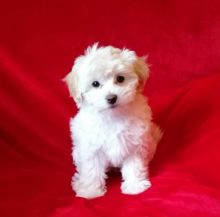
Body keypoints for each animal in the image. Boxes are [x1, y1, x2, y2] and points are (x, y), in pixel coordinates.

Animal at [63, 43, 162, 198]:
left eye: (120, 78)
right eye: (95, 84)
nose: (111, 98)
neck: (113, 115)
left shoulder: (135, 142)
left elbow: (134, 165)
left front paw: (134, 186)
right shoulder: (91, 147)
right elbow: (91, 170)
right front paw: (90, 191)